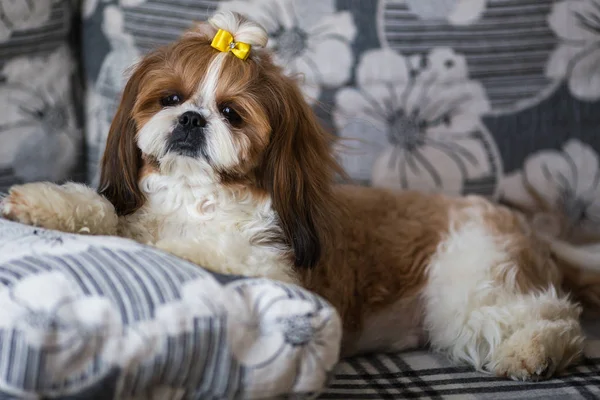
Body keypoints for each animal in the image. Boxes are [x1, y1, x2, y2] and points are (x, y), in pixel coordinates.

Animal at [2, 10, 596, 380]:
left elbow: (179, 248)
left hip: (469, 279)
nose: (191, 118)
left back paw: (533, 352)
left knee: (550, 317)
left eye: (231, 113)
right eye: (170, 98)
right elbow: (110, 212)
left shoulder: (270, 268)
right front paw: (48, 204)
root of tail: (526, 227)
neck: (194, 197)